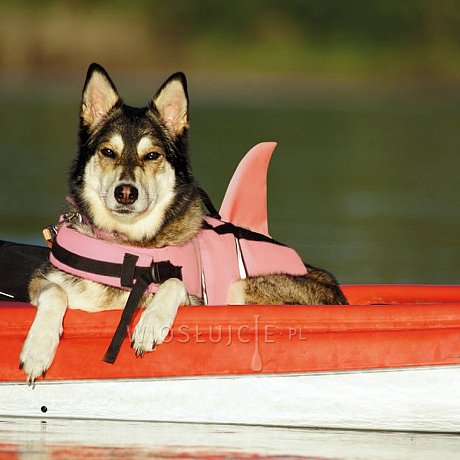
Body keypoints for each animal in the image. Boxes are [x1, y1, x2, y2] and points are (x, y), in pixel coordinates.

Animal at [18, 62, 348, 384]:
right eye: (108, 152)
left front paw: (150, 324)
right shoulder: (42, 281)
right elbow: (54, 292)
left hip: (242, 288)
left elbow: (174, 282)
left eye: (152, 155)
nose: (125, 192)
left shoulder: (195, 299)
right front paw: (37, 349)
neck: (126, 247)